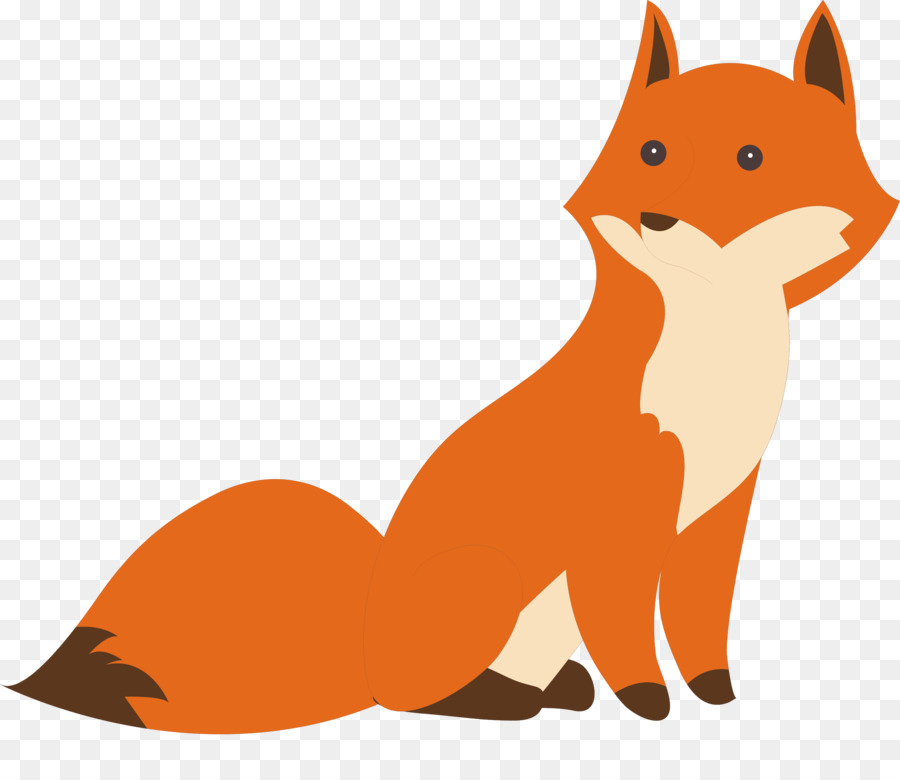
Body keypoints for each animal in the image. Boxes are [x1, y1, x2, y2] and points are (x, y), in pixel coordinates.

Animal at [6, 2, 897, 732]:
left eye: (751, 157)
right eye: (652, 151)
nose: (657, 216)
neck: (714, 358)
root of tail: (366, 643)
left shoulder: (720, 507)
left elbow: (700, 620)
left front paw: (715, 693)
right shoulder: (622, 513)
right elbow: (625, 627)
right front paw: (649, 701)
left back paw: (555, 689)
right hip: (485, 585)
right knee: (416, 699)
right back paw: (500, 700)